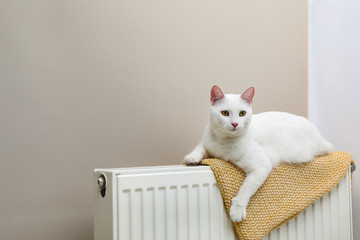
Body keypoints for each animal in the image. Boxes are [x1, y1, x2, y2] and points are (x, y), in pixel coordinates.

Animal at [184, 85, 334, 222]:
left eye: (242, 113)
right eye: (225, 113)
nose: (234, 124)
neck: (225, 142)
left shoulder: (261, 166)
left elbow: (245, 190)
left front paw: (237, 210)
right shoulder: (207, 143)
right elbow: (200, 148)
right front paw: (191, 158)